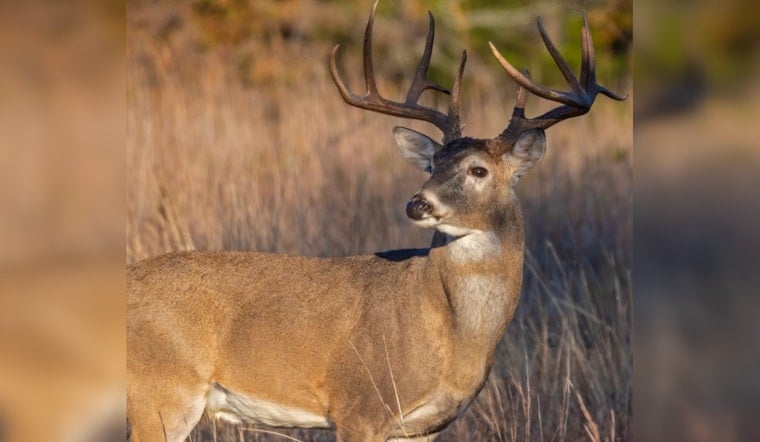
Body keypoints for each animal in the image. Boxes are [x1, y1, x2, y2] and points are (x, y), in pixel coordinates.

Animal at [127, 2, 625, 441]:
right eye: (432, 164)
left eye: (478, 170)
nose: (417, 204)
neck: (449, 331)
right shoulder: (359, 405)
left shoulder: (423, 426)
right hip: (161, 393)